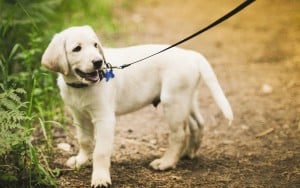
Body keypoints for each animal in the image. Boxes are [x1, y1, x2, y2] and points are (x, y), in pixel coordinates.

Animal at [41, 25, 232, 187]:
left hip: (173, 101)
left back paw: (166, 162)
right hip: (187, 98)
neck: (80, 87)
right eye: (77, 49)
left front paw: (100, 178)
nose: (98, 62)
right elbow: (85, 140)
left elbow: (101, 151)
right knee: (197, 123)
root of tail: (190, 54)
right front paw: (80, 161)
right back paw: (189, 152)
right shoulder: (78, 115)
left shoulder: (105, 118)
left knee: (179, 134)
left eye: (95, 45)